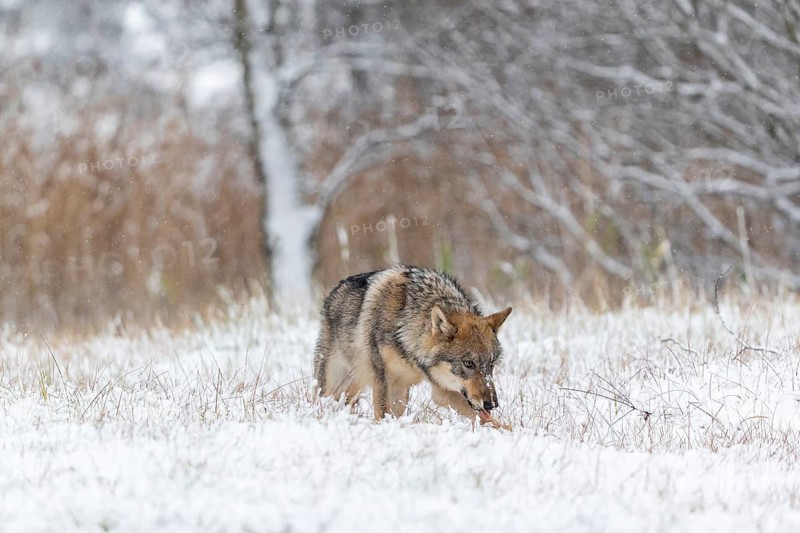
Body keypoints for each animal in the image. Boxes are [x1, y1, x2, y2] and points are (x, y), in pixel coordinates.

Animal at [313, 265, 512, 423]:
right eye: (468, 363)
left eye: (491, 364)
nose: (492, 404)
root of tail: (334, 291)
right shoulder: (384, 380)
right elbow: (383, 414)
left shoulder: (439, 390)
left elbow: (494, 423)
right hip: (334, 386)